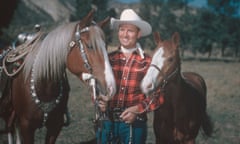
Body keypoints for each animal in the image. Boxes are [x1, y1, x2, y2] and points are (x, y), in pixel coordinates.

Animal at [0, 9, 116, 143]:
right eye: (90, 46)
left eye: (106, 46)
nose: (111, 87)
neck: (43, 84)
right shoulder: (26, 126)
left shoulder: (55, 126)